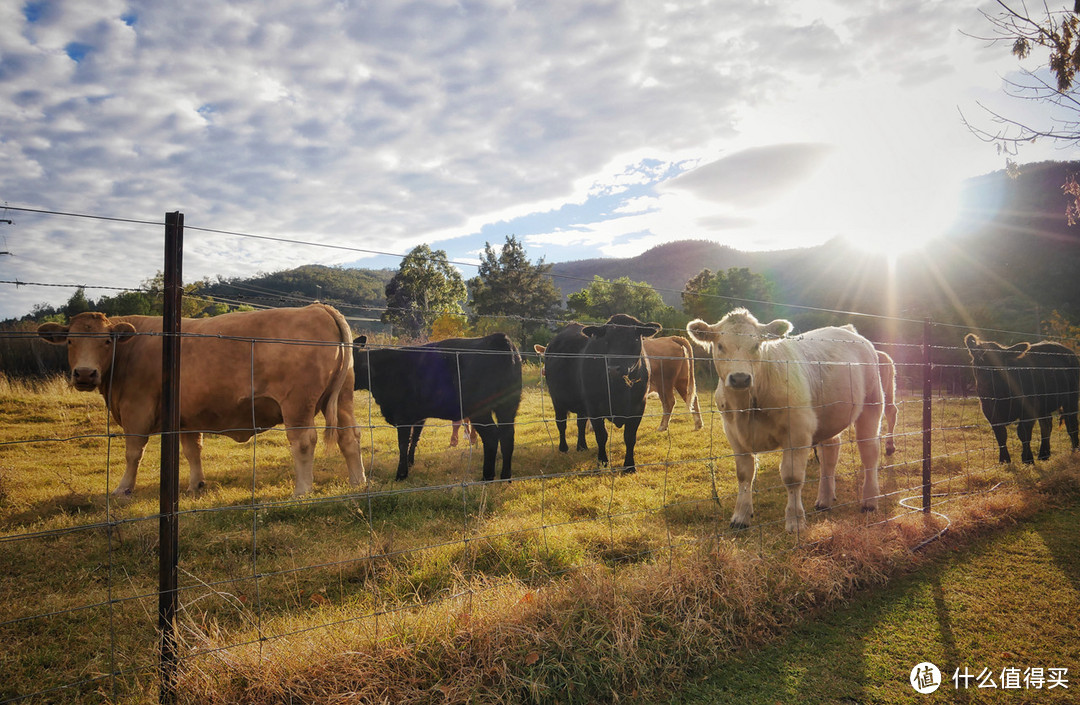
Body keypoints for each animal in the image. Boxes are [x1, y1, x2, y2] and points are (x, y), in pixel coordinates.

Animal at [38, 302, 367, 494]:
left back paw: (302, 490)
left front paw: (123, 488)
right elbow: (192, 450)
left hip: (297, 403)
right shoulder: (185, 417)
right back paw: (358, 481)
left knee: (304, 442)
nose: (84, 373)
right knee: (349, 436)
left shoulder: (136, 409)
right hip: (343, 397)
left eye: (107, 341)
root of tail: (317, 307)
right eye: (70, 341)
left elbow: (133, 452)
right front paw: (196, 484)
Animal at [354, 334, 522, 479]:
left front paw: (401, 474)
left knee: (492, 436)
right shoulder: (418, 416)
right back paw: (505, 476)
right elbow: (414, 439)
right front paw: (410, 463)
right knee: (507, 436)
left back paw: (487, 476)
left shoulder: (403, 416)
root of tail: (499, 338)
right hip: (509, 406)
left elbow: (402, 444)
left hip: (480, 409)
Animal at [540, 315, 656, 472]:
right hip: (557, 399)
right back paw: (563, 448)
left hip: (581, 405)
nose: (613, 368)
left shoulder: (638, 406)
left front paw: (630, 466)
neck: (619, 389)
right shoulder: (594, 407)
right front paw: (602, 461)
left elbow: (630, 437)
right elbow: (601, 435)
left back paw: (582, 446)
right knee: (561, 423)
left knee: (580, 423)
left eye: (634, 339)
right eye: (606, 341)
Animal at [686, 310, 881, 531]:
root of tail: (847, 330)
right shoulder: (734, 434)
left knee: (869, 452)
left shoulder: (798, 431)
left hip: (872, 403)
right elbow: (744, 474)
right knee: (830, 455)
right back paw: (824, 500)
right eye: (720, 346)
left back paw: (869, 501)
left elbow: (792, 477)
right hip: (829, 418)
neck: (747, 406)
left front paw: (795, 520)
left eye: (756, 345)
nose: (740, 378)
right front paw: (740, 516)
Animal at [963, 332, 1080, 464]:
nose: (984, 381)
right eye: (976, 360)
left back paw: (1074, 451)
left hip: (1071, 398)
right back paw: (1044, 455)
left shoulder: (1029, 408)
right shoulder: (989, 410)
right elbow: (1000, 434)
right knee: (1047, 424)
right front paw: (1004, 460)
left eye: (999, 362)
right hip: (1044, 404)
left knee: (1071, 424)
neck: (1000, 395)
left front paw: (1028, 459)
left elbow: (1023, 432)